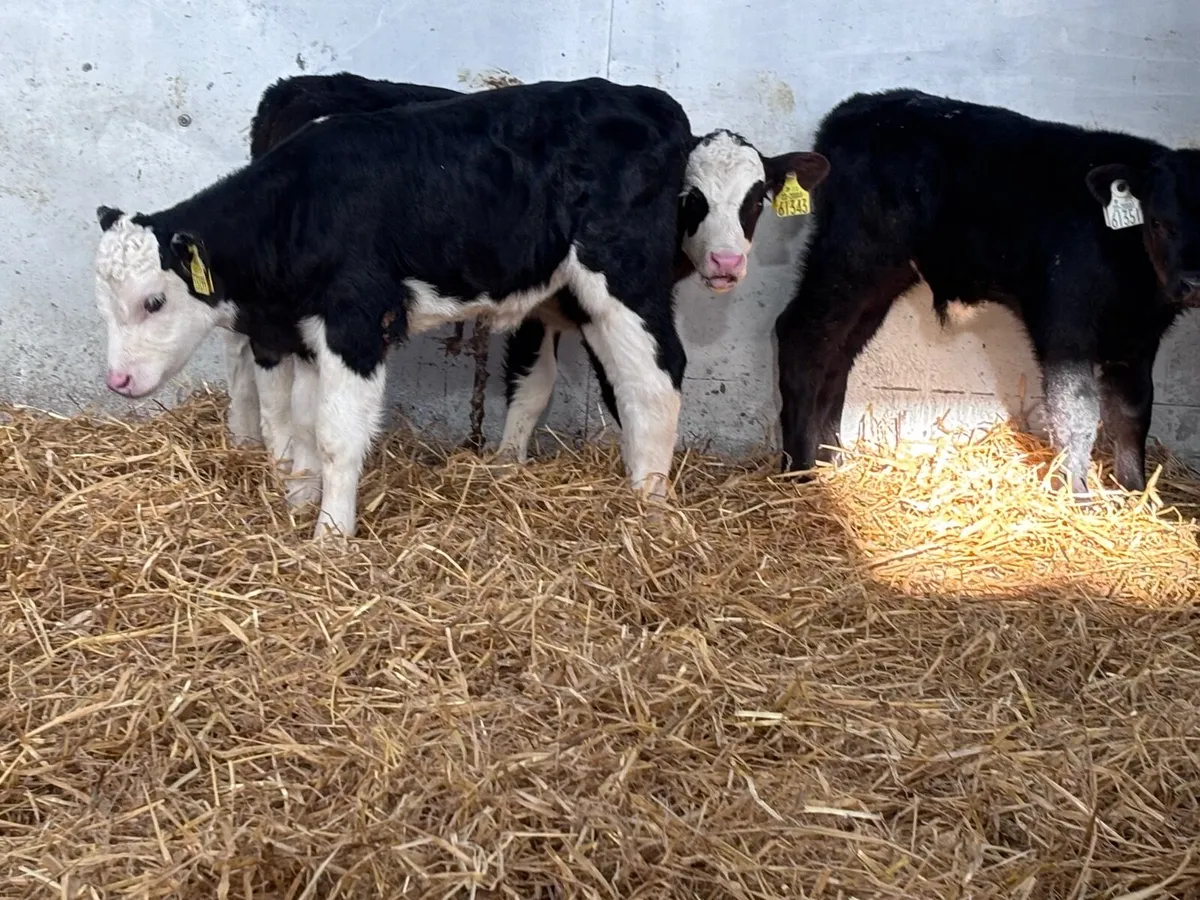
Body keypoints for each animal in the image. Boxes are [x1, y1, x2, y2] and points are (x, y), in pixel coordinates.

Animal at [93, 77, 697, 541]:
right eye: (103, 307)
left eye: (153, 301)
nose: (117, 380)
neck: (303, 209)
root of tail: (646, 98)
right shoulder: (303, 335)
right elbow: (304, 422)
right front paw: (300, 502)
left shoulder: (356, 323)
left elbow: (336, 434)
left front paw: (331, 536)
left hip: (623, 273)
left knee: (655, 379)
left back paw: (650, 510)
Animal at [222, 72, 831, 464]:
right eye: (692, 199)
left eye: (756, 198)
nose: (728, 261)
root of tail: (292, 90)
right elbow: (575, 386)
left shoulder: (547, 309)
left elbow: (532, 385)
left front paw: (505, 463)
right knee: (657, 378)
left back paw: (246, 439)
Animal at [774, 87, 1200, 499]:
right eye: (1158, 222)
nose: (1192, 283)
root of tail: (852, 110)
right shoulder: (1065, 323)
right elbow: (1076, 408)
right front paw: (1077, 494)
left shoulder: (1140, 339)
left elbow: (1133, 411)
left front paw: (1136, 491)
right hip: (851, 256)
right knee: (801, 336)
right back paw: (800, 471)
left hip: (881, 278)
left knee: (837, 352)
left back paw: (831, 459)